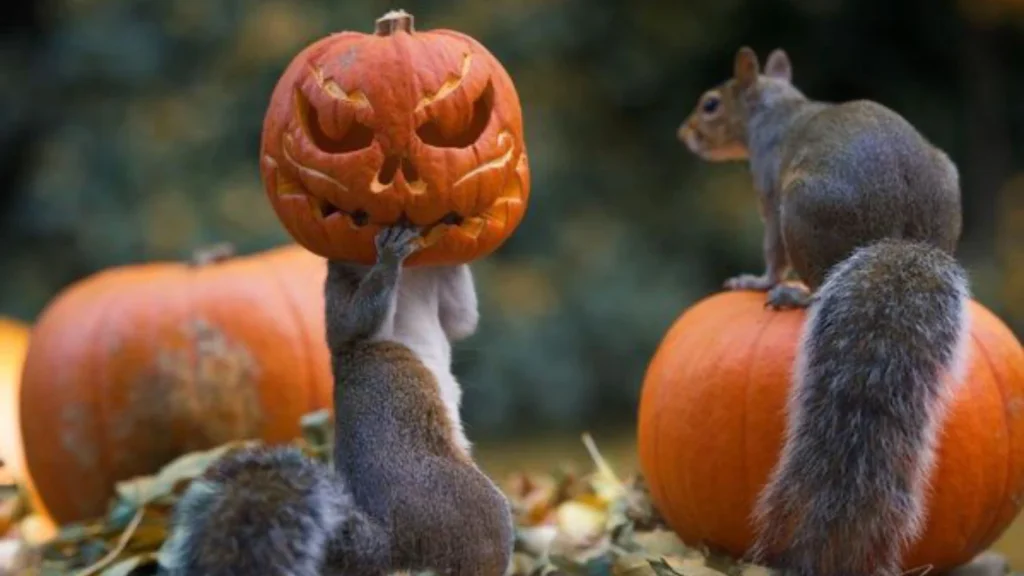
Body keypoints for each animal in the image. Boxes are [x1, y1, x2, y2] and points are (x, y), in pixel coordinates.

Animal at [158, 223, 516, 573]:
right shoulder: (339, 296)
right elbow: (355, 320)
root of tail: (388, 543)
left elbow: (461, 318)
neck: (414, 276)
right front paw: (389, 255)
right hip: (470, 506)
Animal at [675, 47, 970, 573]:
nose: (683, 133)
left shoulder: (769, 191)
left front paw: (759, 280)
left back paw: (793, 295)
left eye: (710, 104)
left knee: (814, 282)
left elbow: (772, 252)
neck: (778, 108)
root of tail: (902, 238)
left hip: (802, 208)